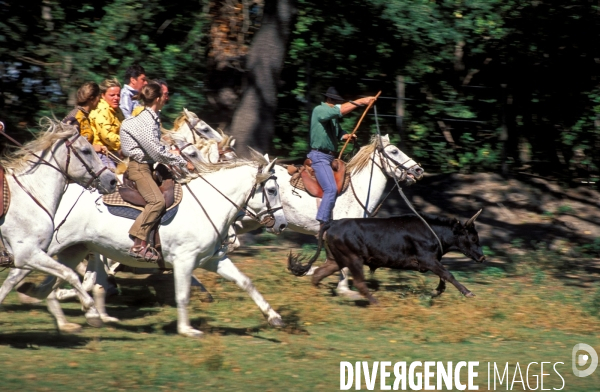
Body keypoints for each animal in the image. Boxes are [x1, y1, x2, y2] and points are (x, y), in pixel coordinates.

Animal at [0, 118, 116, 324]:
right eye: (86, 150)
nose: (112, 180)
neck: (30, 194)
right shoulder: (28, 254)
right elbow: (70, 274)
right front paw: (91, 310)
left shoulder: (33, 255)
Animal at [2, 150, 288, 336]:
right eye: (272, 190)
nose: (283, 225)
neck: (208, 204)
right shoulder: (184, 262)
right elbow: (182, 295)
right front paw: (187, 330)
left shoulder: (212, 260)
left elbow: (245, 282)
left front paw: (274, 317)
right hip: (41, 249)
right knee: (20, 277)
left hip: (74, 250)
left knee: (52, 285)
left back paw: (67, 320)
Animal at [288, 210, 488, 304]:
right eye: (473, 238)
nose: (482, 258)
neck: (433, 231)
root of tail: (333, 223)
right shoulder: (428, 259)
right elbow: (448, 275)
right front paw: (468, 292)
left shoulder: (432, 261)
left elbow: (443, 277)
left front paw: (436, 291)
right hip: (353, 258)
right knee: (359, 282)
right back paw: (376, 302)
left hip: (336, 259)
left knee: (318, 273)